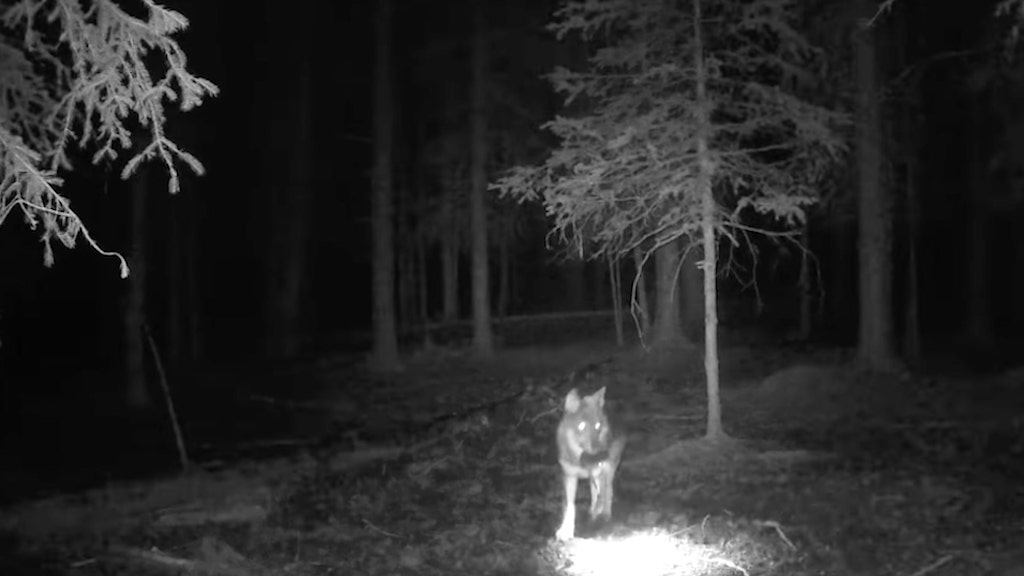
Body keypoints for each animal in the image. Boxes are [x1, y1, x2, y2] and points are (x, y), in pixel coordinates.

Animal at [555, 386, 626, 541]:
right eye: (581, 426)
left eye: (597, 426)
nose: (600, 451)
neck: (583, 460)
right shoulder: (569, 476)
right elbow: (570, 506)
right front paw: (566, 530)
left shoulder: (601, 469)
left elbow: (603, 494)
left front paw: (600, 514)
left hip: (608, 468)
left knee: (607, 490)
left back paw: (603, 514)